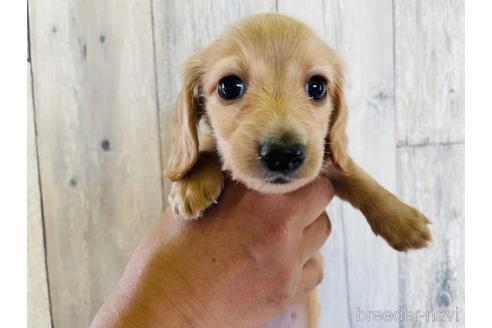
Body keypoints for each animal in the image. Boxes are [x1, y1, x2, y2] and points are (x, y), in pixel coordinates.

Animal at [163, 13, 428, 328]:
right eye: (229, 86)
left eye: (317, 87)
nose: (283, 154)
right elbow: (205, 147)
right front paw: (191, 183)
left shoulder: (327, 160)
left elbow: (358, 178)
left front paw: (403, 220)